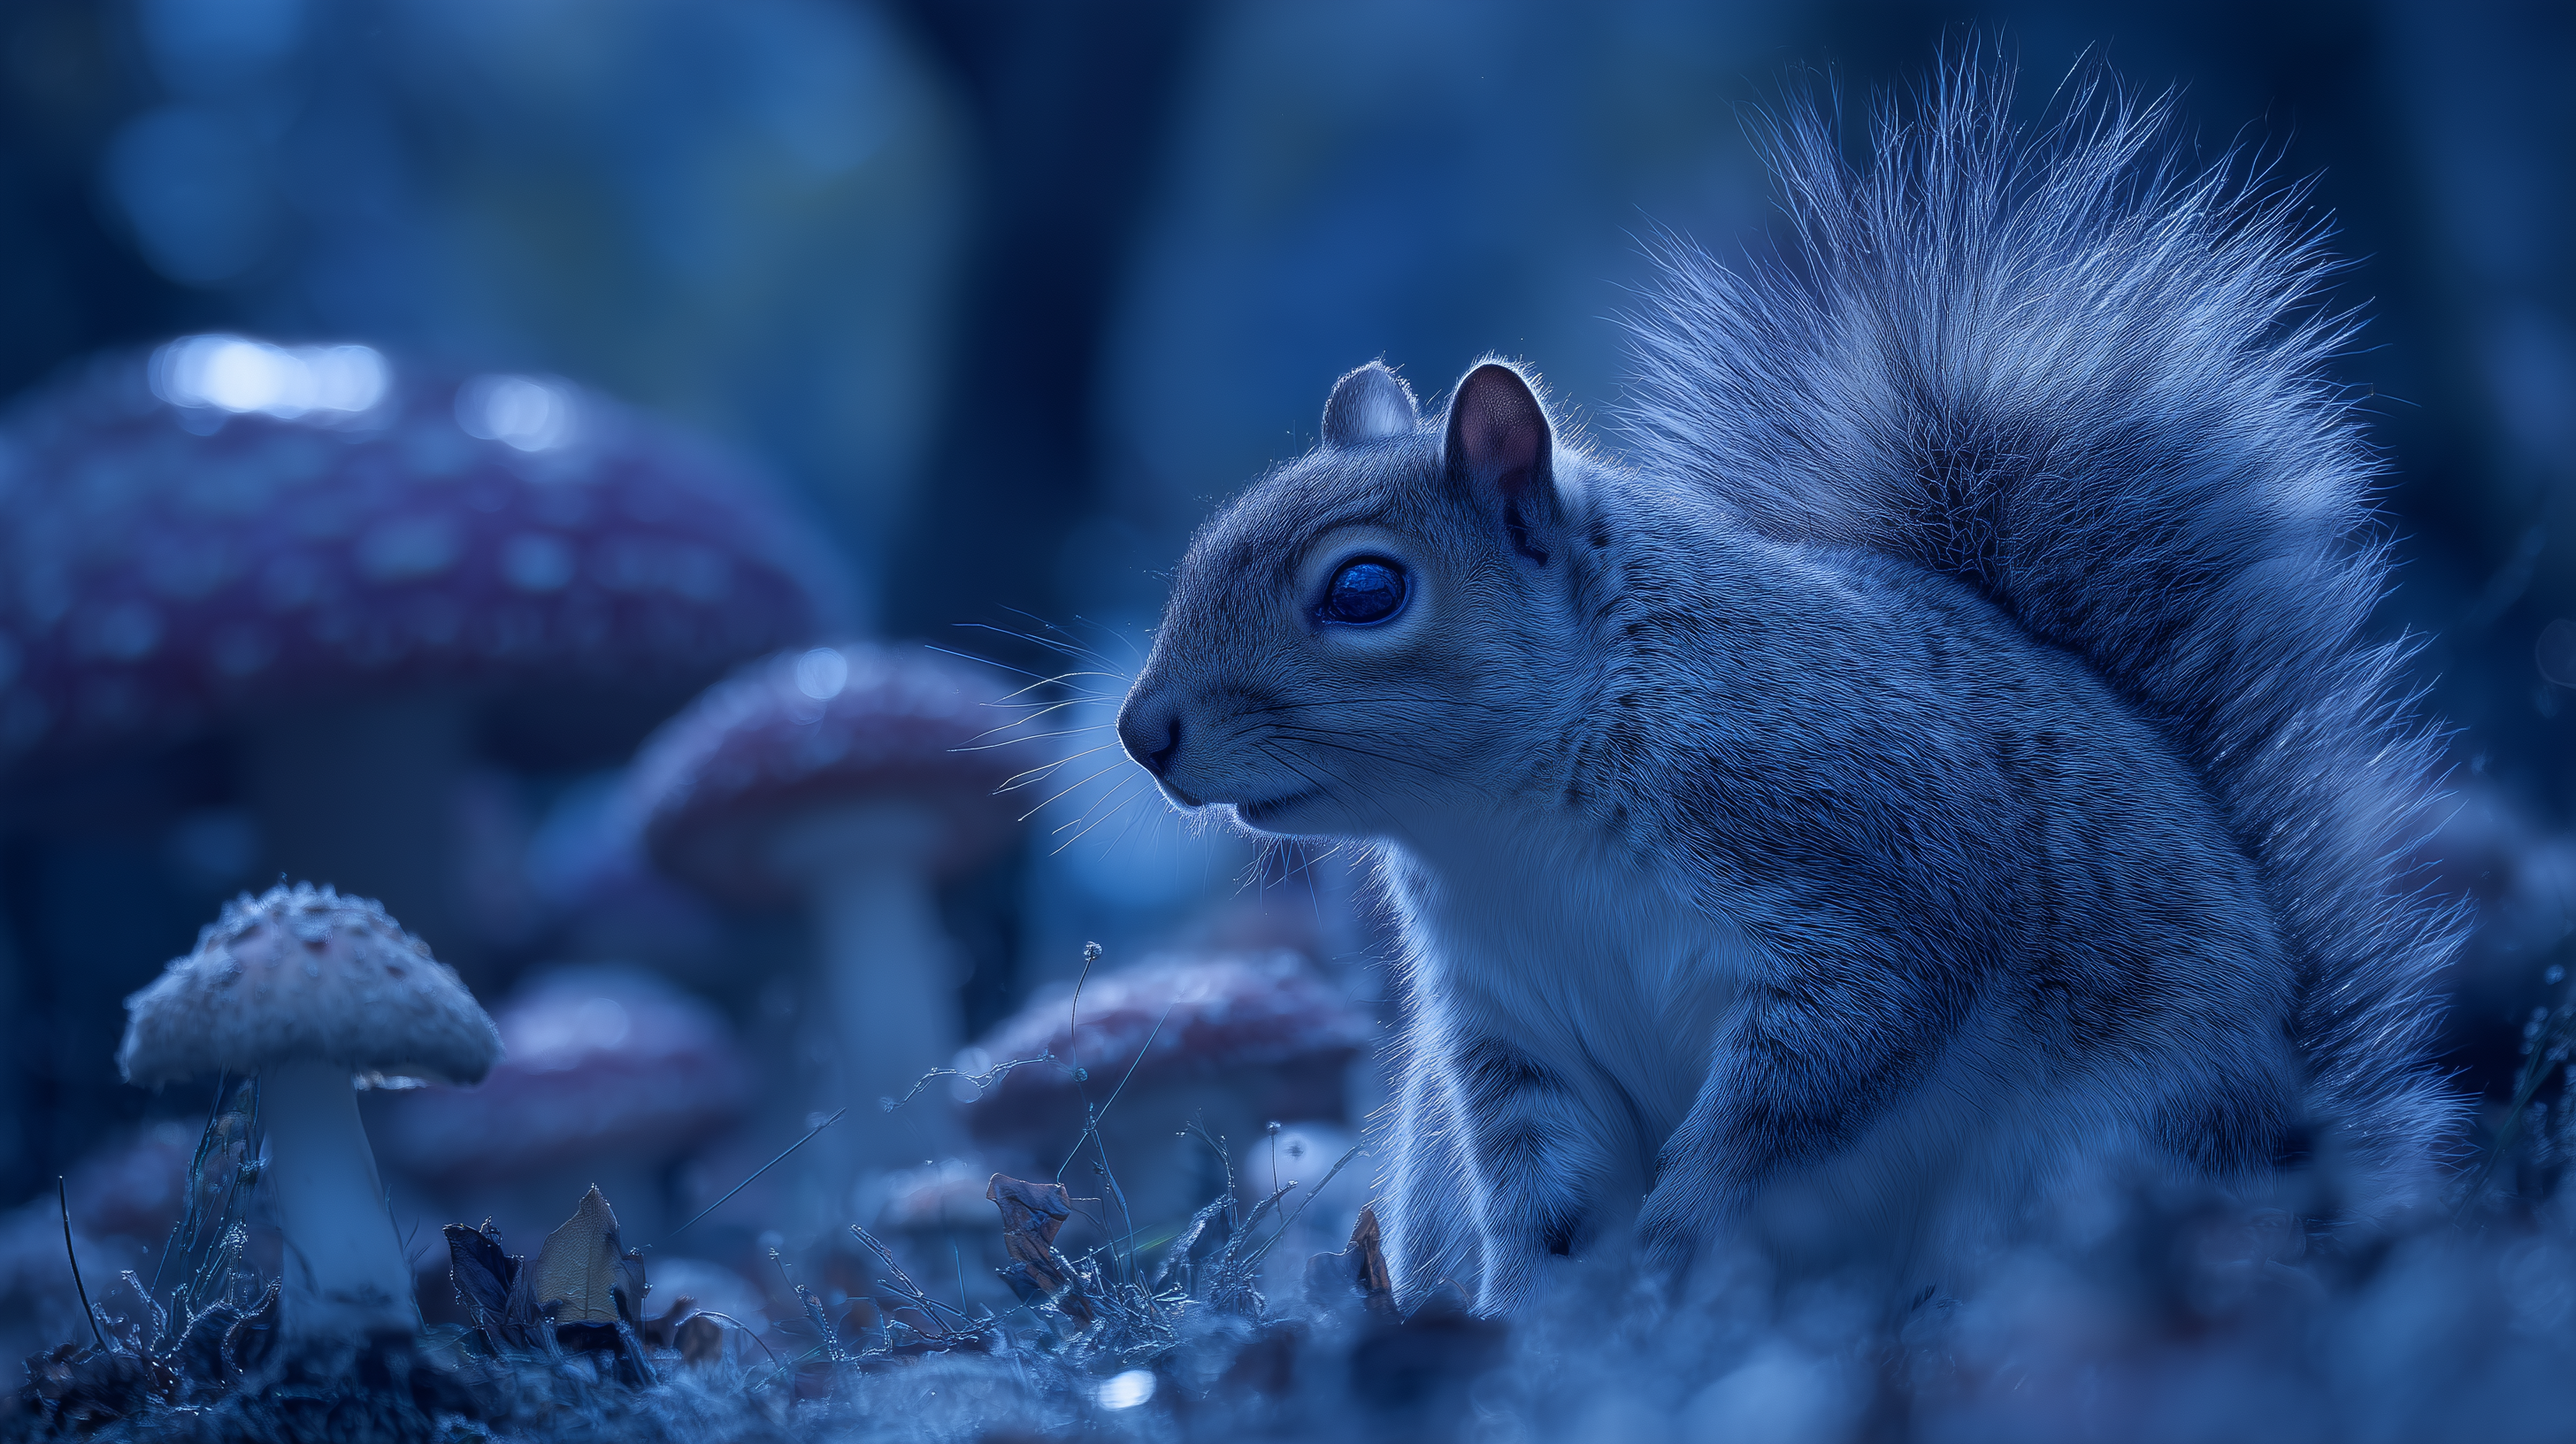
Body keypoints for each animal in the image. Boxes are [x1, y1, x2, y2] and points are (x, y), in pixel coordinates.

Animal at [1114, 65, 2463, 1315]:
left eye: (1363, 591)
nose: (1141, 733)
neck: (1507, 821)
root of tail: (2296, 1166)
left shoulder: (1870, 889)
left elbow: (1805, 1091)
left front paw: (1675, 1243)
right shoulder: (1506, 1029)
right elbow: (1543, 1196)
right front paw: (1539, 1335)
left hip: (2104, 1157)